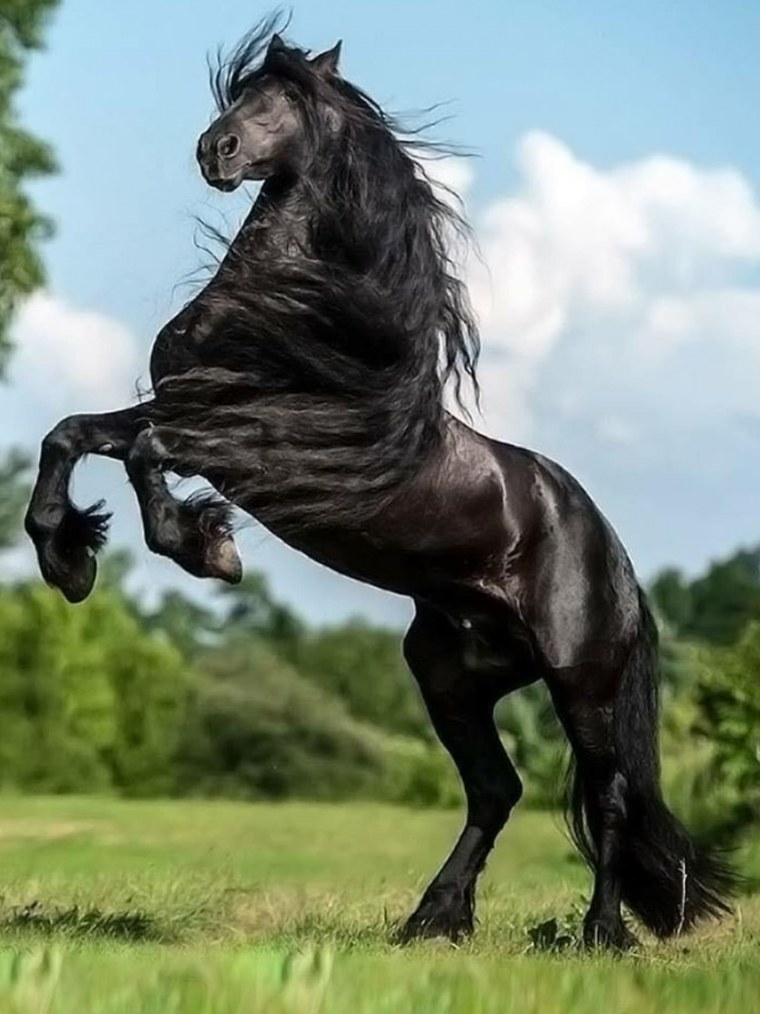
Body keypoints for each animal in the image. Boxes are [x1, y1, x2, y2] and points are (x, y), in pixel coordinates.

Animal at [25, 19, 737, 949]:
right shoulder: (188, 410)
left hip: (582, 683)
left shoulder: (254, 446)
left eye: (284, 99)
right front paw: (68, 561)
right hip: (451, 676)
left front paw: (206, 550)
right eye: (243, 94)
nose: (215, 151)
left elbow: (144, 452)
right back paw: (431, 920)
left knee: (606, 798)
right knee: (497, 791)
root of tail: (613, 556)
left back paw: (599, 936)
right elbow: (73, 434)